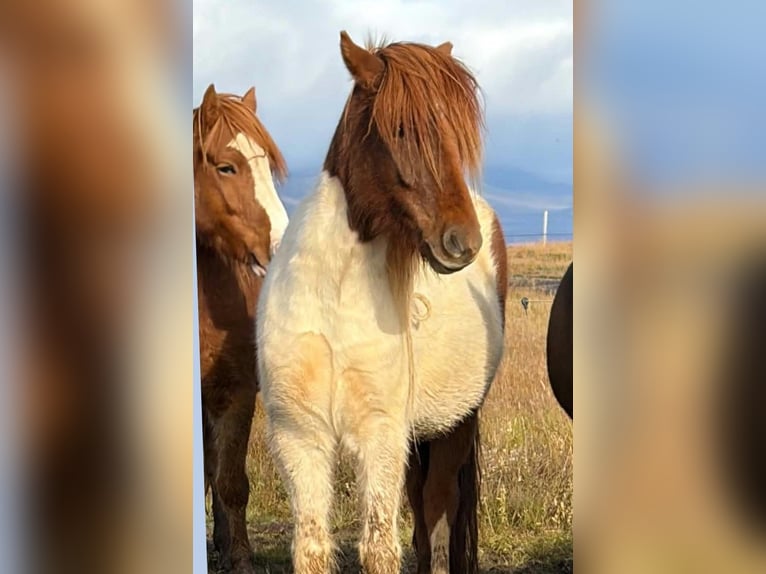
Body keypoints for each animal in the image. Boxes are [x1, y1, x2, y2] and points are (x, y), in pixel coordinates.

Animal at [257, 32, 507, 574]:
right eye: (399, 129)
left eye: (456, 135)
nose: (462, 242)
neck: (334, 298)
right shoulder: (299, 438)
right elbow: (311, 545)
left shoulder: (380, 437)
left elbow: (378, 546)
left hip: (455, 425)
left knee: (437, 513)